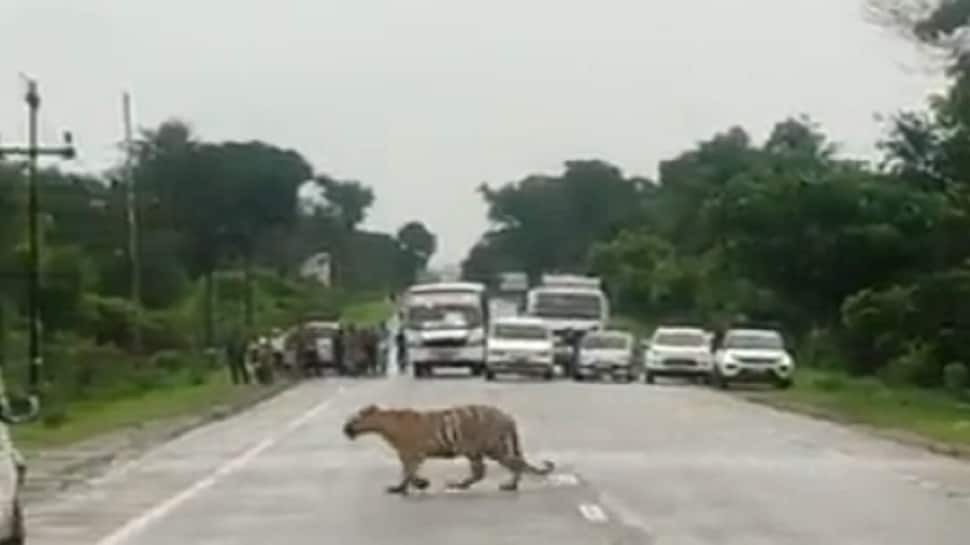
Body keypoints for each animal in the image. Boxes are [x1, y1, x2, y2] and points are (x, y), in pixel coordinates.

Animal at [340, 402, 552, 496]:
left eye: (352, 419)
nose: (344, 429)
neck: (383, 423)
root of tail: (508, 417)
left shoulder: (411, 453)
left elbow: (409, 472)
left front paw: (414, 485)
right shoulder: (408, 455)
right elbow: (407, 472)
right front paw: (409, 486)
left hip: (491, 448)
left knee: (513, 465)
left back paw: (507, 485)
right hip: (480, 451)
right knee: (484, 471)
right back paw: (462, 485)